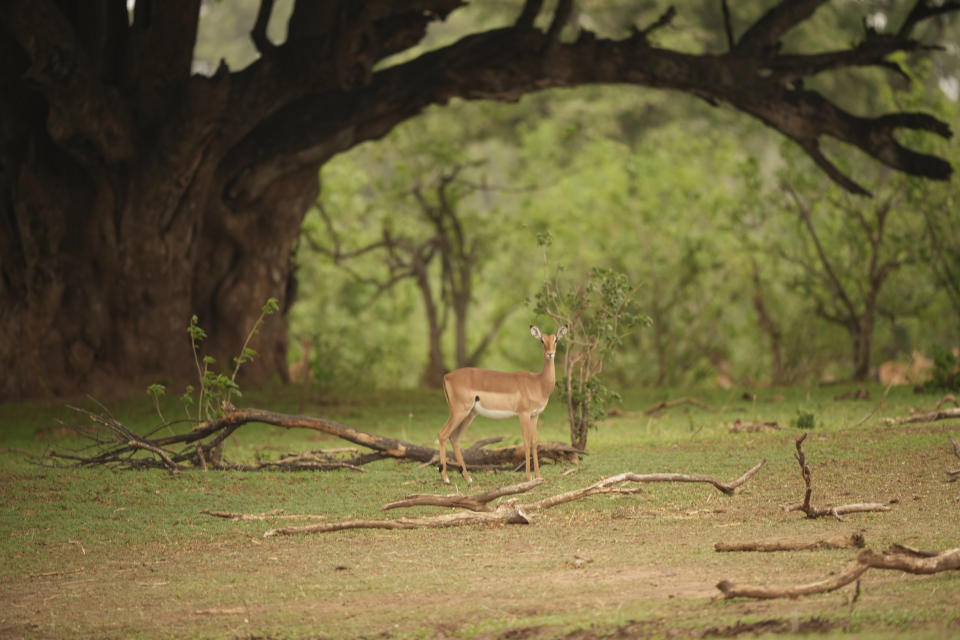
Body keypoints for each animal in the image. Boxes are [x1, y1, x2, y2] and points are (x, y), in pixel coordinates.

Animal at [438, 328, 568, 482]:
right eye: (542, 340)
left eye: (556, 339)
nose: (550, 353)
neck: (538, 383)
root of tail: (447, 376)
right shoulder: (523, 414)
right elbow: (526, 442)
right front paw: (529, 477)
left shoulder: (534, 415)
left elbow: (534, 442)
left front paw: (538, 476)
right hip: (459, 411)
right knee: (443, 434)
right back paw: (446, 478)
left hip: (469, 414)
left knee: (455, 437)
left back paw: (467, 477)